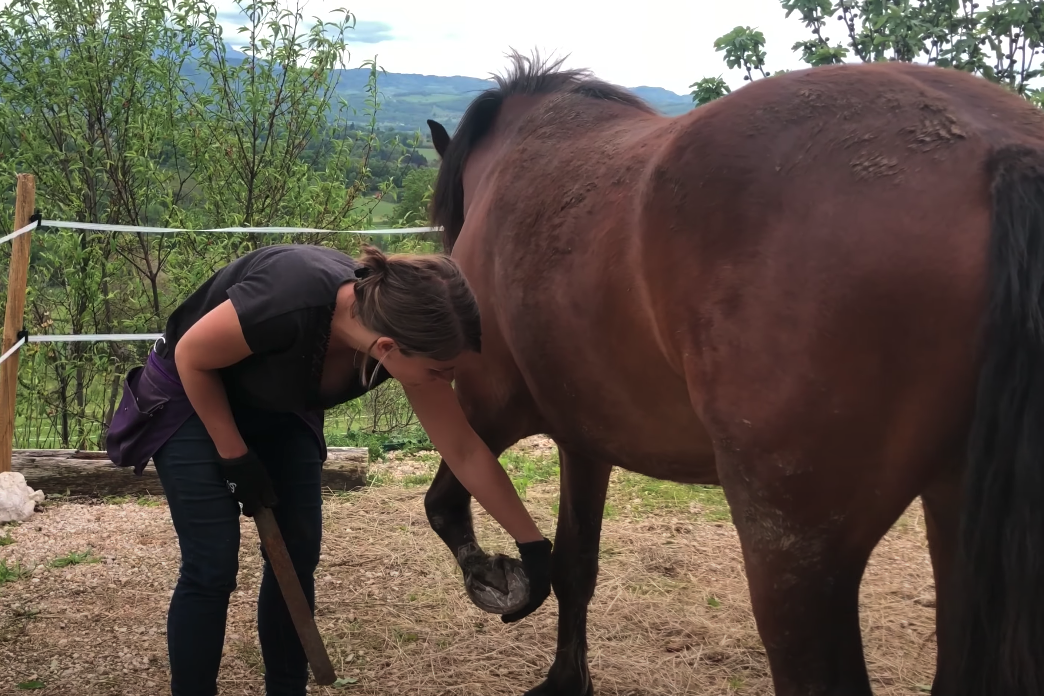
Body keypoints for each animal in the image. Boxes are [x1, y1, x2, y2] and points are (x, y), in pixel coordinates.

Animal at [419, 51, 1044, 696]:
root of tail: (999, 147)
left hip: (794, 552)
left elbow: (444, 505)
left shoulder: (488, 408)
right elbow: (575, 566)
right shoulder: (585, 441)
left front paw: (498, 579)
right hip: (956, 520)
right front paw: (568, 677)